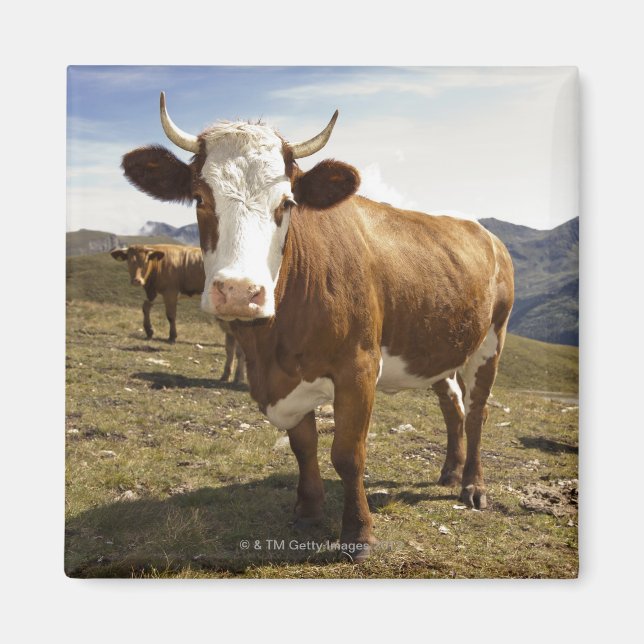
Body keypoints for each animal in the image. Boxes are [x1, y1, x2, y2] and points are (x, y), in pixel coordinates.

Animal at [110, 243, 245, 384]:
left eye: (146, 261)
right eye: (129, 261)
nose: (137, 280)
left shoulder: (170, 292)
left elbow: (170, 315)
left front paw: (172, 336)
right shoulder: (158, 293)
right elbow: (146, 306)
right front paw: (149, 331)